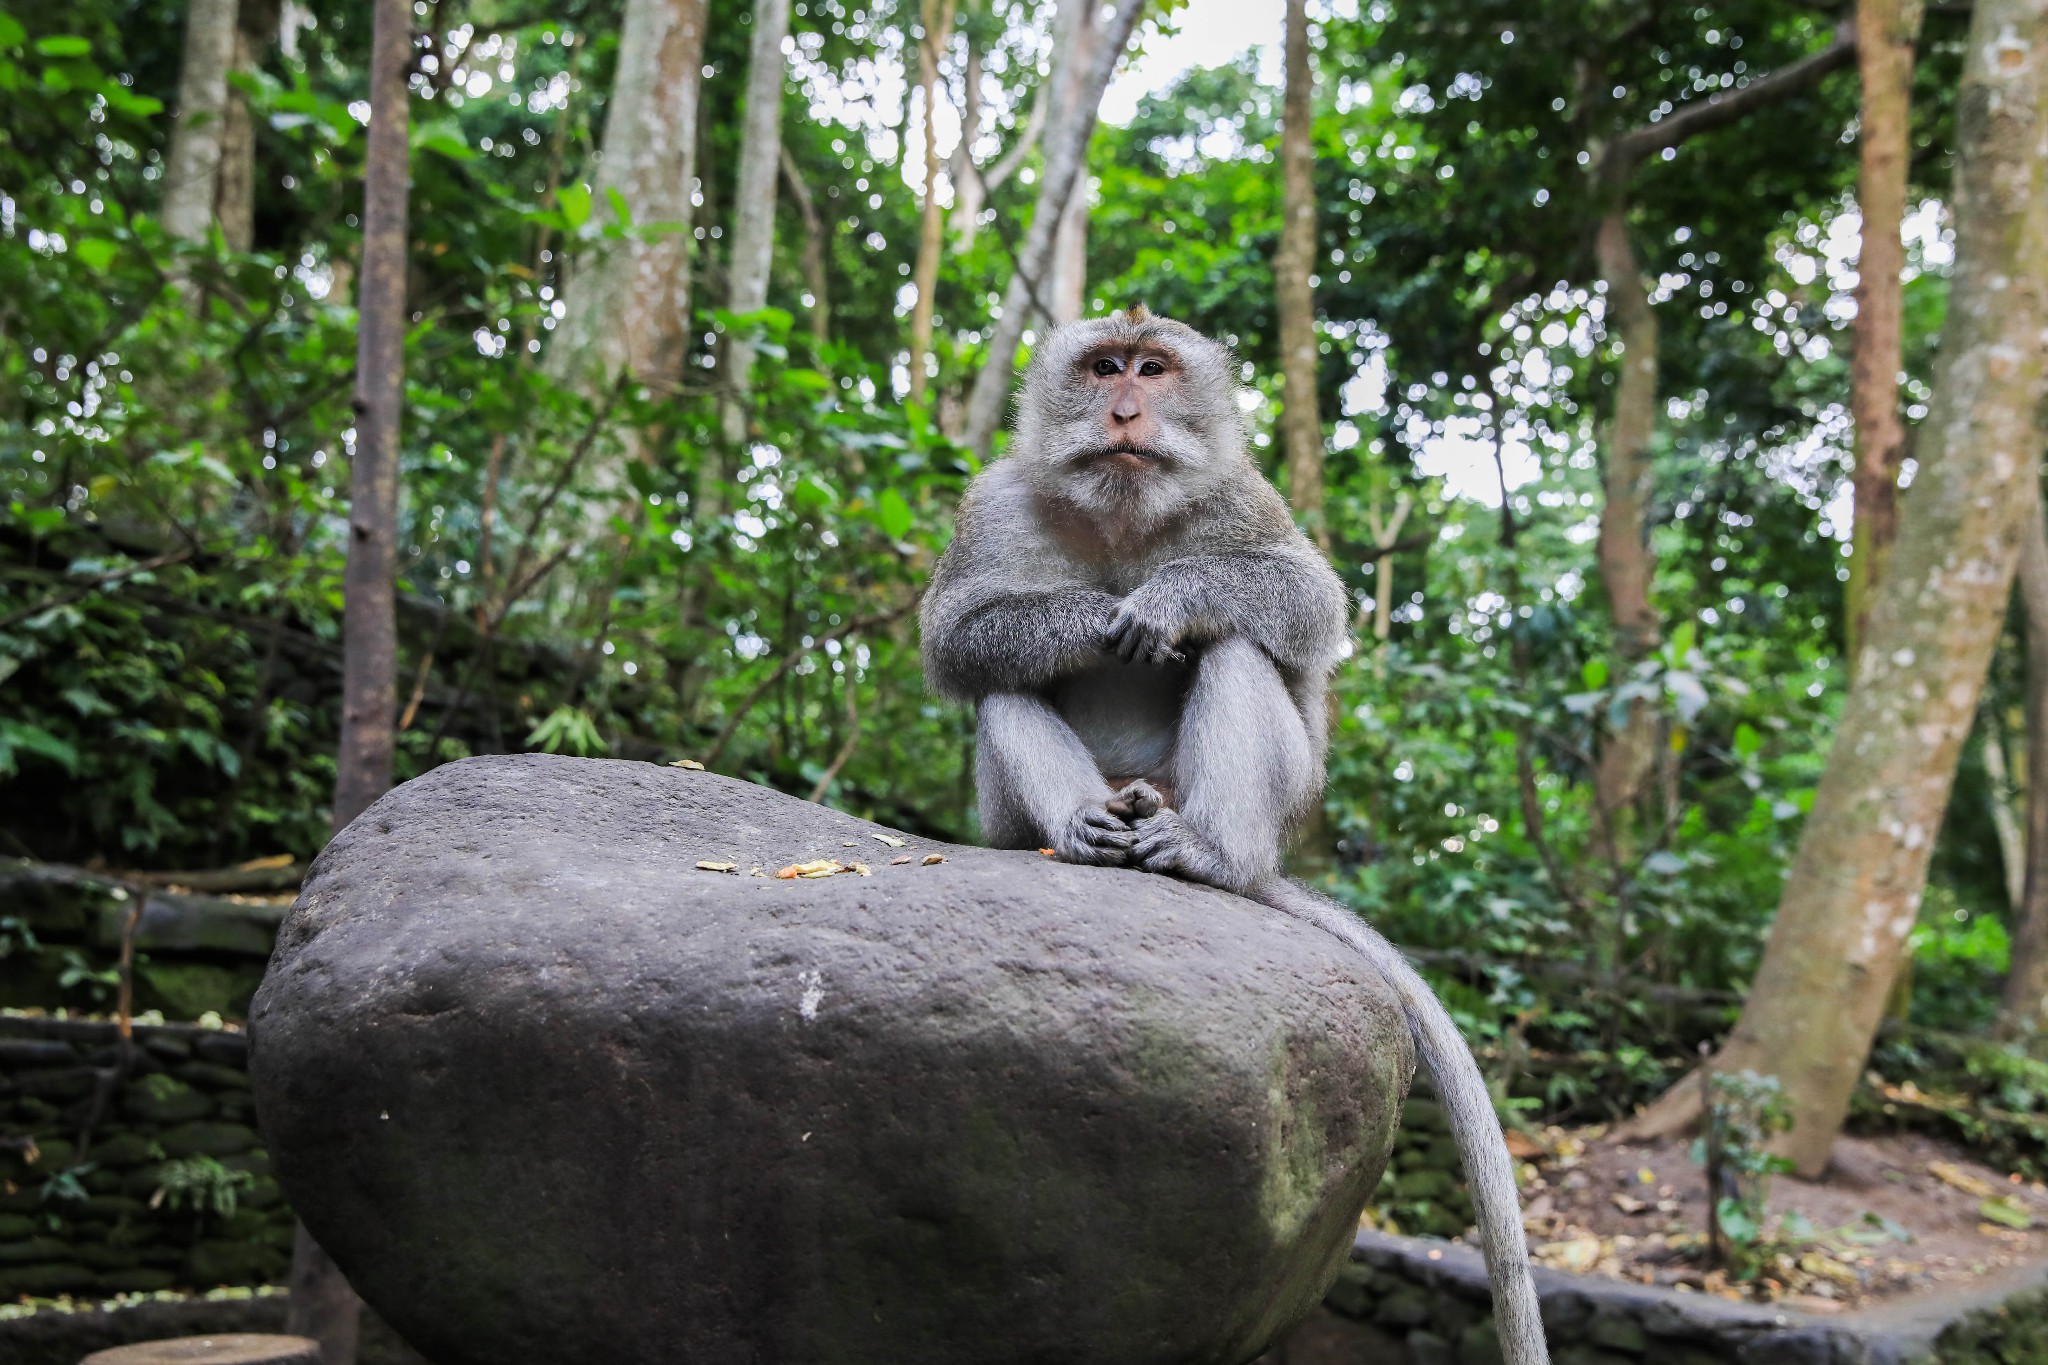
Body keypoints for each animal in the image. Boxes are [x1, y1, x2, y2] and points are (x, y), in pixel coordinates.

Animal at [921, 309, 1540, 1365]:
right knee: (1008, 681)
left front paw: (1170, 597)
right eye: (1104, 368)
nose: (1126, 410)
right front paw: (1089, 615)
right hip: (1011, 817)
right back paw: (1087, 827)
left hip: (1270, 802)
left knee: (1237, 644)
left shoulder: (1243, 496)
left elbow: (1305, 599)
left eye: (1155, 369)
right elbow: (956, 636)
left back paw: (1208, 854)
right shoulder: (993, 501)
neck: (1126, 515)